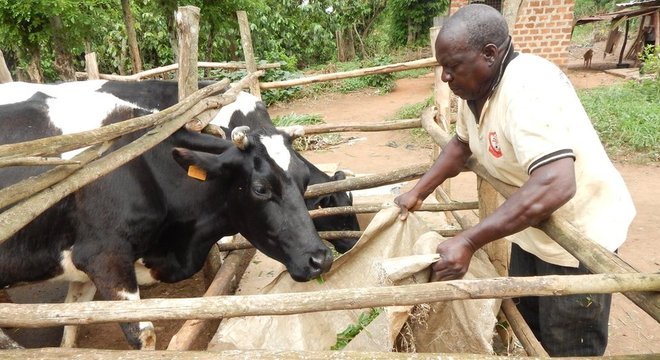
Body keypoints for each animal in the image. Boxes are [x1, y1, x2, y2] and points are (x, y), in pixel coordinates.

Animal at [0, 88, 336, 348]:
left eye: (305, 180)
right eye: (260, 188)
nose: (320, 259)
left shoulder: (80, 266)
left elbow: (71, 322)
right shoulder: (103, 257)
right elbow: (143, 336)